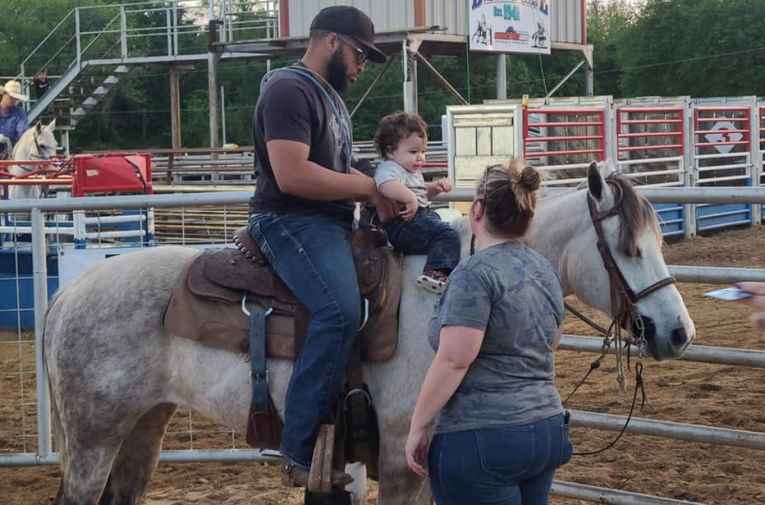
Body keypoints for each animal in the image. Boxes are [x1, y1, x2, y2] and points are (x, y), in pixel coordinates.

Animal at [44, 164, 696, 504]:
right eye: (630, 247)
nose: (678, 332)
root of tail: (67, 295)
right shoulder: (401, 462)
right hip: (95, 437)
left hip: (143, 426)